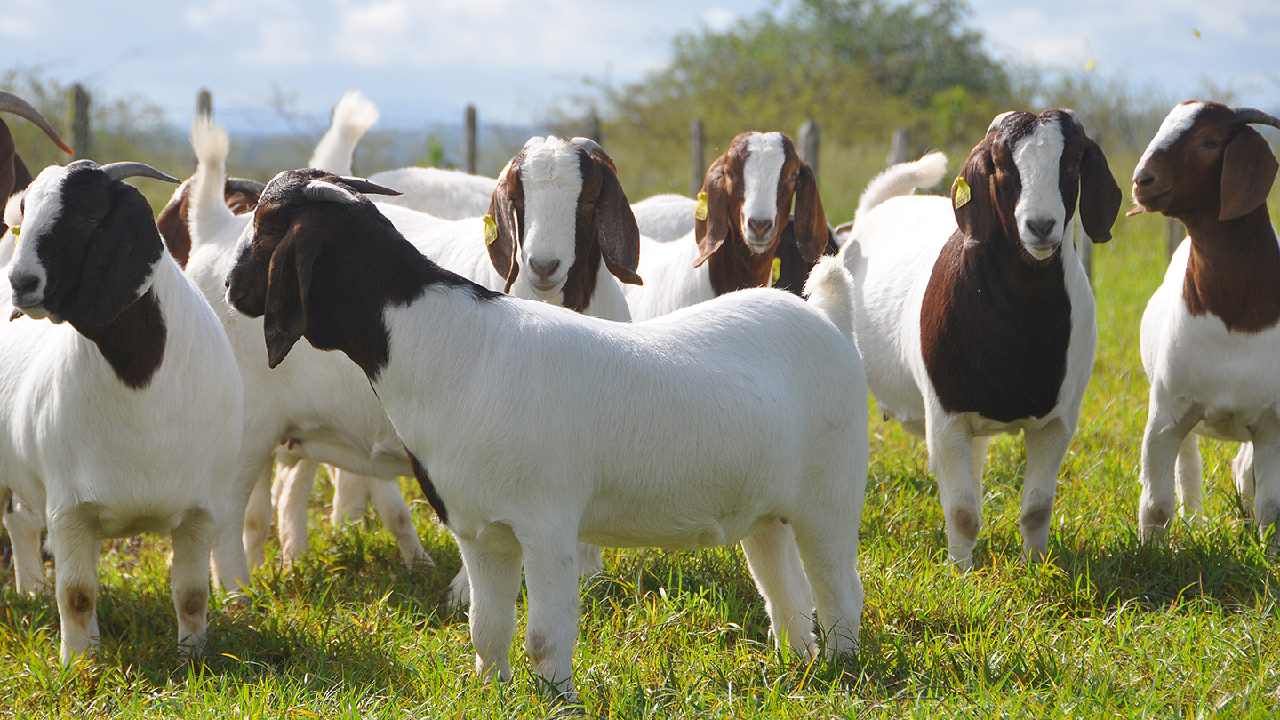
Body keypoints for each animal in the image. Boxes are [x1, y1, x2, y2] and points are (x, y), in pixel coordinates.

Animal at [227, 167, 870, 696]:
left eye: (267, 225)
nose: (232, 290)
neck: (450, 346)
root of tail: (826, 317)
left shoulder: (547, 525)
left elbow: (542, 636)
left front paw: (555, 698)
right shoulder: (481, 531)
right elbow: (486, 629)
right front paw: (492, 689)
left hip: (830, 496)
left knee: (838, 590)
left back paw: (840, 668)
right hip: (766, 512)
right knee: (786, 592)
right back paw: (797, 665)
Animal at [839, 107, 1121, 566]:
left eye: (1072, 163)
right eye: (1002, 165)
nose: (1040, 225)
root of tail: (878, 209)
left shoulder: (1058, 422)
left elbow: (1037, 507)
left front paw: (1034, 565)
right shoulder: (946, 416)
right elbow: (962, 510)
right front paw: (960, 571)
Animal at [1131, 98, 1280, 540]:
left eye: (1210, 141)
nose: (1141, 180)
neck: (1232, 315)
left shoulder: (1272, 425)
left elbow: (1270, 508)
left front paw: (1268, 550)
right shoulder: (1166, 413)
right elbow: (1156, 506)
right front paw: (1151, 552)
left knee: (1244, 470)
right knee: (1188, 466)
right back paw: (1194, 520)